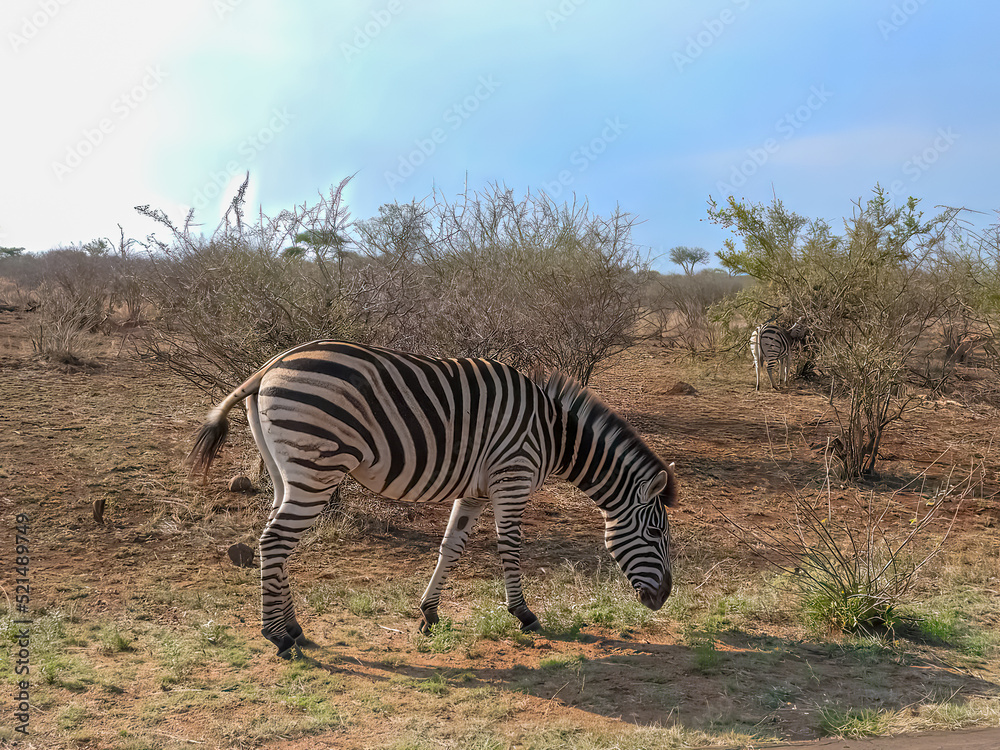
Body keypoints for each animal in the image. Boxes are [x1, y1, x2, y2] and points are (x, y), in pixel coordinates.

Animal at [188, 340, 678, 658]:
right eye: (656, 533)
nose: (664, 598)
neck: (552, 435)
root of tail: (269, 366)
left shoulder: (476, 491)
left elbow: (450, 547)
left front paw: (429, 615)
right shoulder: (512, 478)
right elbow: (511, 548)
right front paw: (524, 615)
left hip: (286, 472)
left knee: (278, 542)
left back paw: (294, 628)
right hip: (316, 468)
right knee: (274, 542)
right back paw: (278, 638)